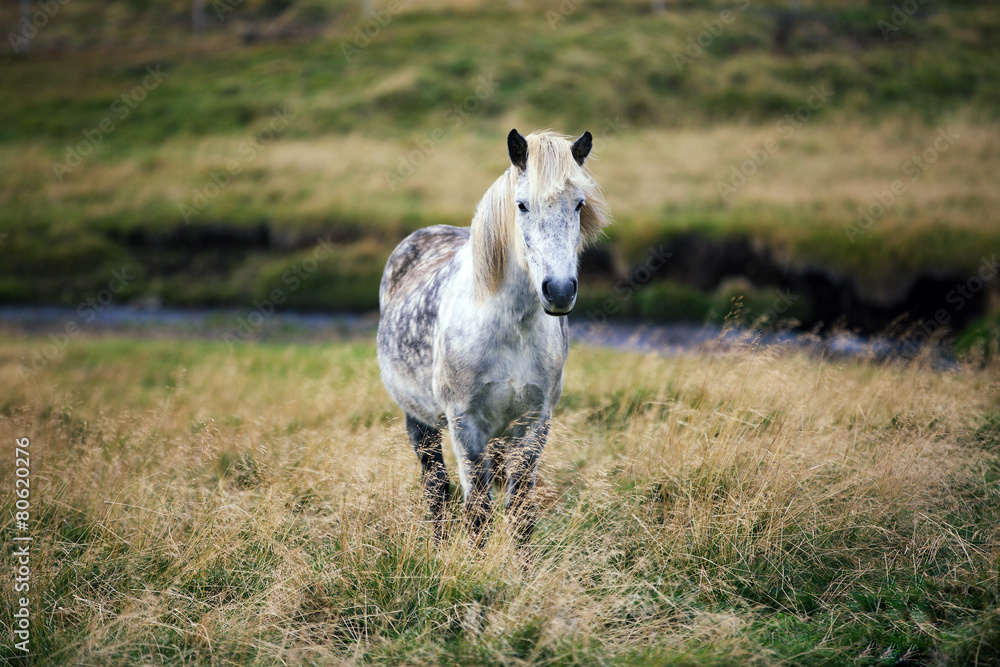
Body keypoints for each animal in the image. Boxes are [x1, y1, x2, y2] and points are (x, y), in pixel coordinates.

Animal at [376, 129, 610, 545]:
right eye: (522, 205)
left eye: (579, 204)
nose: (560, 291)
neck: (510, 330)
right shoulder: (465, 425)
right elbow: (478, 514)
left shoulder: (534, 424)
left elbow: (521, 513)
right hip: (419, 422)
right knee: (436, 489)